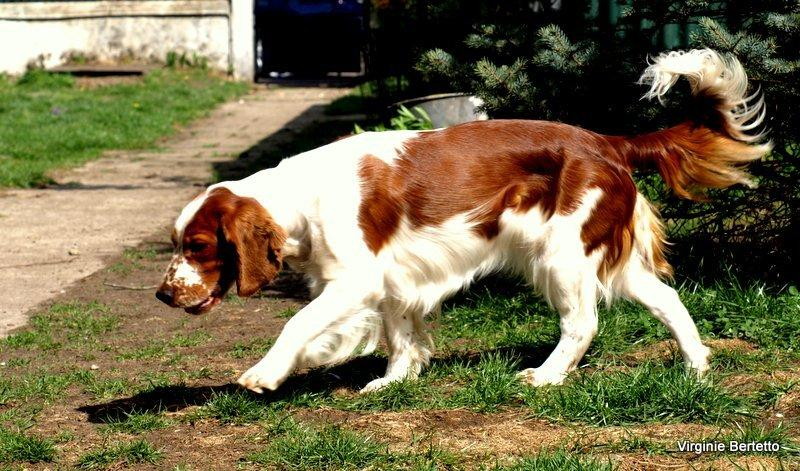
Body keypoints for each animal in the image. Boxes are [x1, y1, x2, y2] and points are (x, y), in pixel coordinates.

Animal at [155, 49, 768, 392]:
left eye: (199, 245)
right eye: (179, 242)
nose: (163, 295)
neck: (300, 196)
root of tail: (609, 141)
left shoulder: (355, 280)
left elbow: (299, 323)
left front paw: (267, 372)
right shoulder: (393, 279)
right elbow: (399, 334)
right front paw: (391, 383)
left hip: (561, 255)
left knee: (582, 323)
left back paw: (546, 376)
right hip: (607, 258)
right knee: (668, 301)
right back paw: (696, 369)